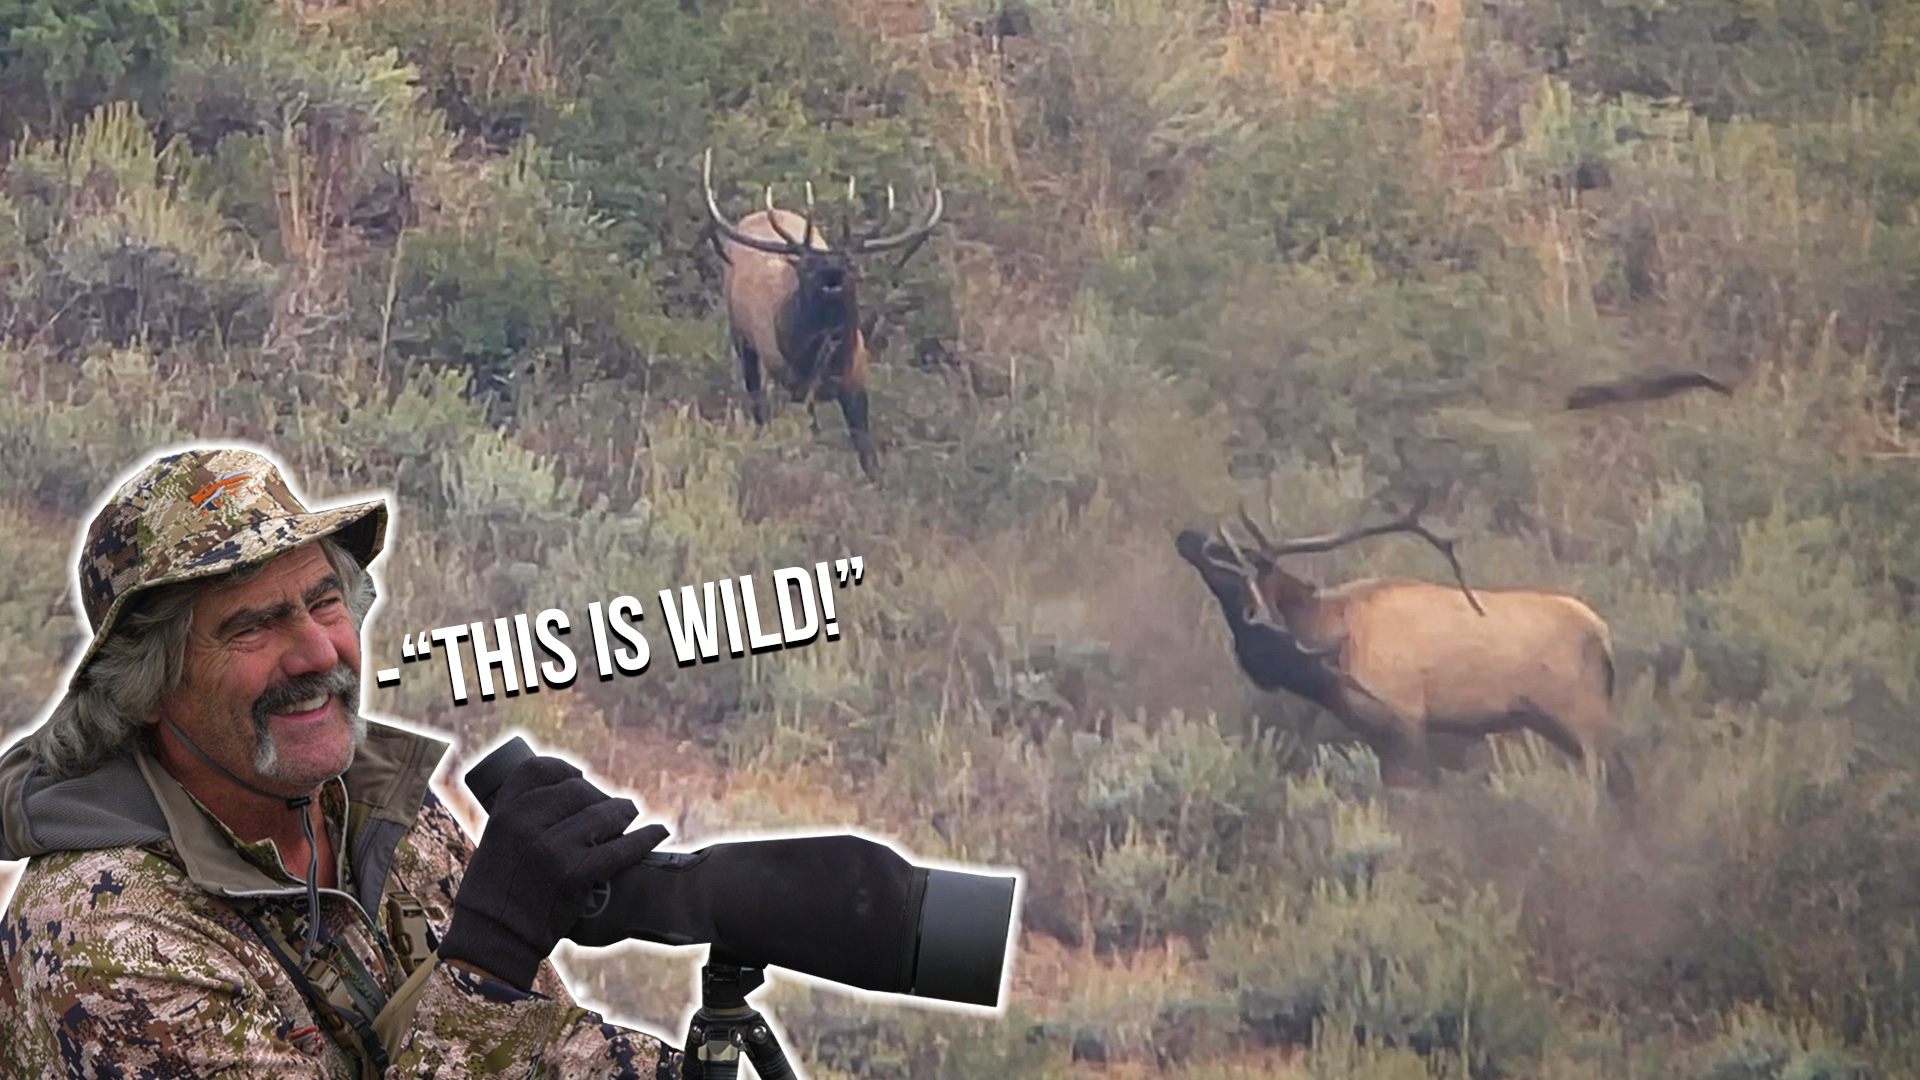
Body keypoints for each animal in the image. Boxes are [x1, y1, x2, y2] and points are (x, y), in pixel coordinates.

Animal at [700, 147, 944, 484]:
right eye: (807, 267)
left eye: (849, 263)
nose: (831, 276)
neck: (829, 359)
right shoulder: (796, 384)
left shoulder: (856, 380)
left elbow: (868, 455)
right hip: (742, 338)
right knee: (756, 400)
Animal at [1174, 489, 1636, 812]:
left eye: (1234, 558)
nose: (1188, 535)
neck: (1326, 648)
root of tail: (1604, 635)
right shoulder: (1374, 731)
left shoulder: (1406, 720)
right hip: (1552, 721)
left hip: (1580, 714)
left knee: (1617, 778)